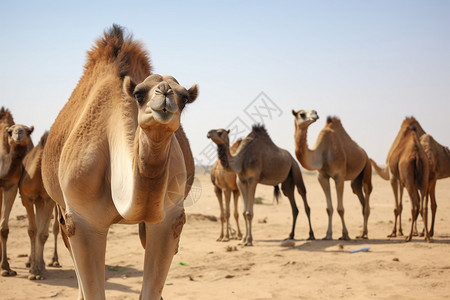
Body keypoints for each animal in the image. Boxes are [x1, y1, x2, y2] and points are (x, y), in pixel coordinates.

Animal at [18, 131, 61, 278]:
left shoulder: (48, 200)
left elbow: (43, 234)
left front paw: (38, 270)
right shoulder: (27, 199)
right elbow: (32, 231)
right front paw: (33, 270)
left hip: (44, 201)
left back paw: (47, 262)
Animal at [40, 24, 199, 298]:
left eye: (185, 98)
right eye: (139, 94)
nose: (165, 93)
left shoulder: (169, 217)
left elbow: (150, 289)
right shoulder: (82, 219)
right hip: (61, 208)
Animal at [292, 109, 372, 240]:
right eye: (302, 114)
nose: (315, 113)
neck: (323, 152)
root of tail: (365, 154)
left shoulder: (339, 176)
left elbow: (340, 209)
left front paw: (345, 235)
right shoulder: (322, 177)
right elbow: (329, 208)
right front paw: (328, 235)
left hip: (367, 167)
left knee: (367, 194)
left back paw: (364, 233)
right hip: (356, 180)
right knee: (361, 198)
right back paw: (362, 233)